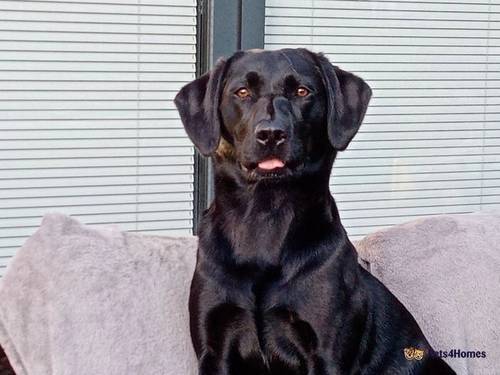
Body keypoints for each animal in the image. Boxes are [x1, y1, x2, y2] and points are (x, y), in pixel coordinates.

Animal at [174, 49, 456, 375]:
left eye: (302, 91)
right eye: (242, 92)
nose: (271, 134)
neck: (265, 217)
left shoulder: (325, 350)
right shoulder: (214, 347)